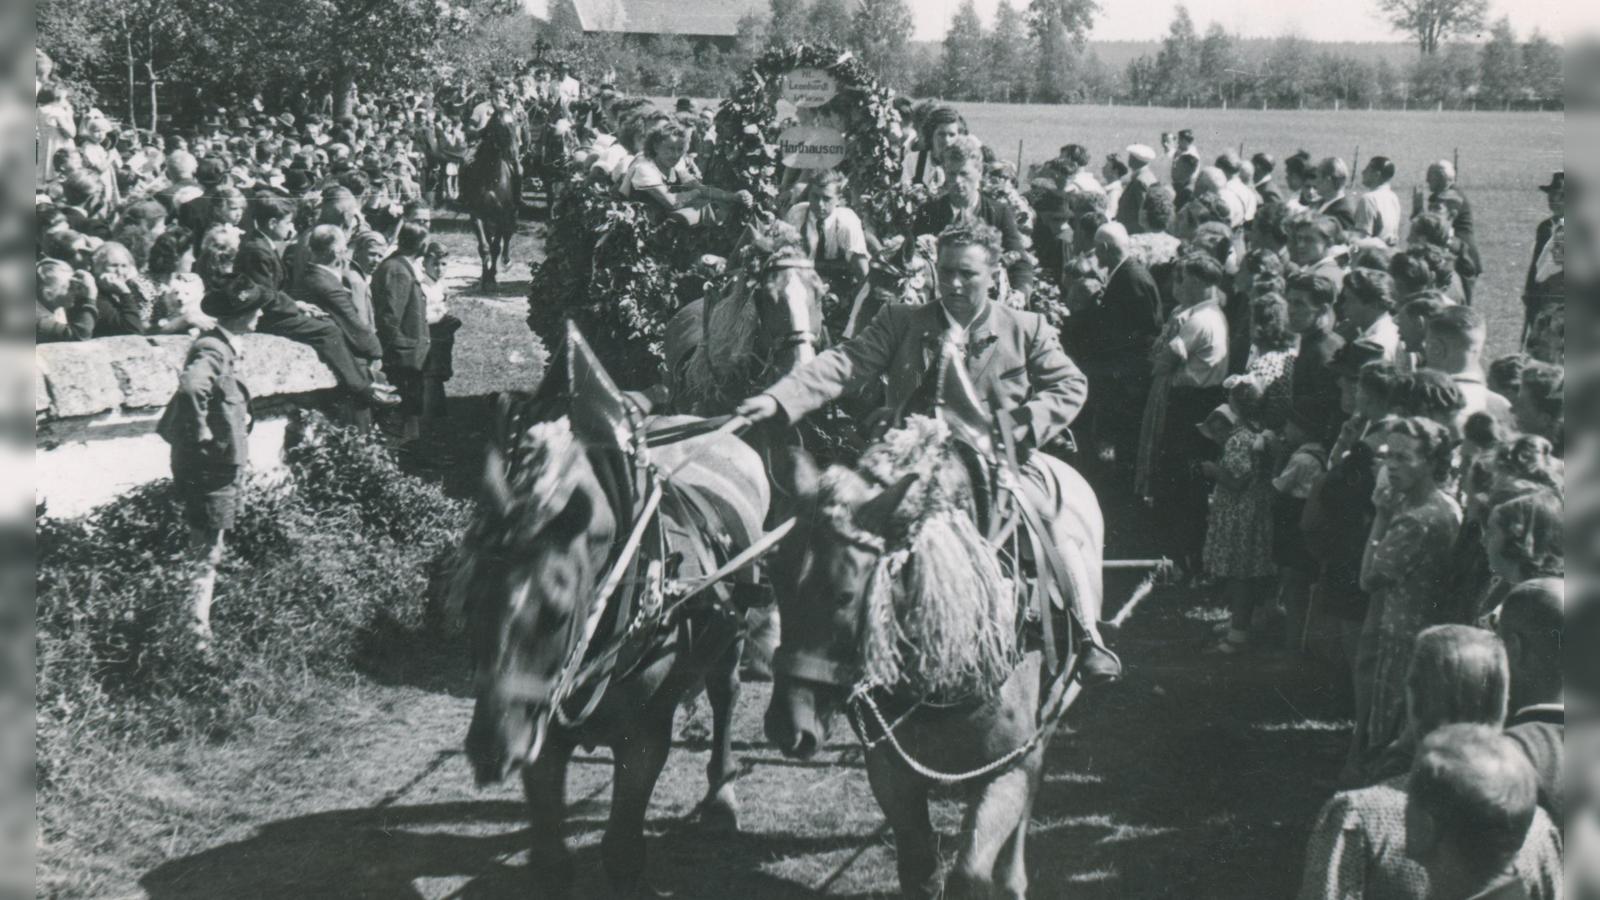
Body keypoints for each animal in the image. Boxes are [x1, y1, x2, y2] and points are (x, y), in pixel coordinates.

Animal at [460, 329, 771, 896]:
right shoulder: (541, 732)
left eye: (557, 612)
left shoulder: (644, 737)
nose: (492, 749)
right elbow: (550, 860)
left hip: (733, 630)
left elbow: (622, 852)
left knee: (725, 694)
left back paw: (720, 796)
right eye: (470, 603)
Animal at [761, 416, 1100, 896]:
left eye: (846, 595)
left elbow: (969, 872)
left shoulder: (1007, 767)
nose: (787, 727)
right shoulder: (890, 771)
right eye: (775, 579)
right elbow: (918, 870)